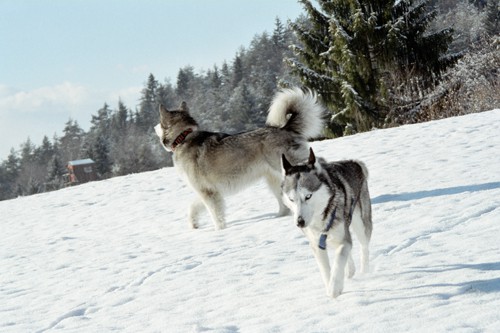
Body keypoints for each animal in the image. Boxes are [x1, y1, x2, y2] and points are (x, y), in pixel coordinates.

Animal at [155, 87, 324, 230]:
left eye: (159, 122)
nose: (154, 127)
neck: (183, 137)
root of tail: (285, 128)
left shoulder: (207, 192)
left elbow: (216, 215)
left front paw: (220, 231)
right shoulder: (211, 191)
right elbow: (194, 207)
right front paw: (194, 223)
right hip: (274, 179)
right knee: (285, 204)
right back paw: (278, 217)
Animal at [282, 148, 372, 296]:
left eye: (308, 196)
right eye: (291, 199)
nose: (300, 222)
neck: (321, 220)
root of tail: (353, 162)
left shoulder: (343, 240)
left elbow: (339, 261)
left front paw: (334, 288)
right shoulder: (317, 245)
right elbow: (325, 270)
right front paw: (330, 285)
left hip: (361, 223)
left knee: (364, 246)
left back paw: (365, 272)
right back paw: (350, 270)